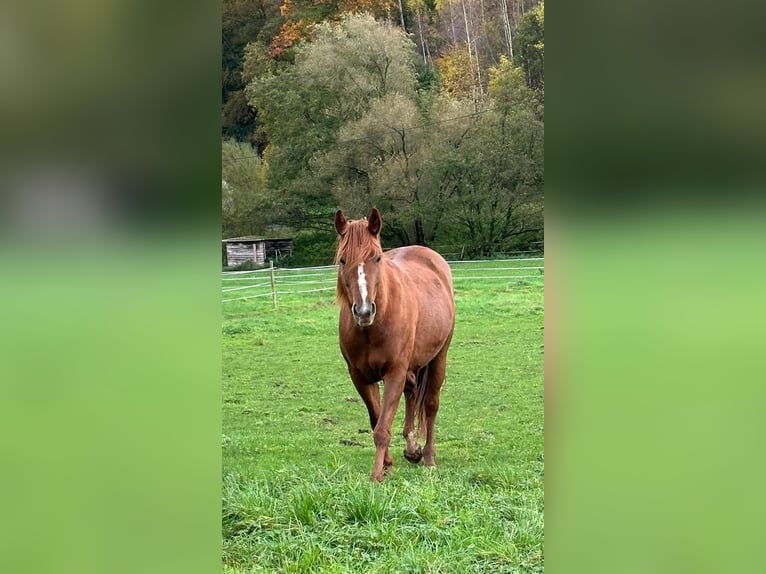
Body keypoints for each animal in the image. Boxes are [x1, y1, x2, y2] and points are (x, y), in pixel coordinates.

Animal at [334, 208, 455, 482]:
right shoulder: (360, 377)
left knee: (431, 405)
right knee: (412, 392)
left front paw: (376, 475)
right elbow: (377, 420)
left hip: (439, 357)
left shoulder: (394, 373)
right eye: (343, 260)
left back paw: (429, 458)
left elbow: (382, 427)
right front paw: (388, 464)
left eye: (377, 258)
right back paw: (412, 449)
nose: (364, 311)